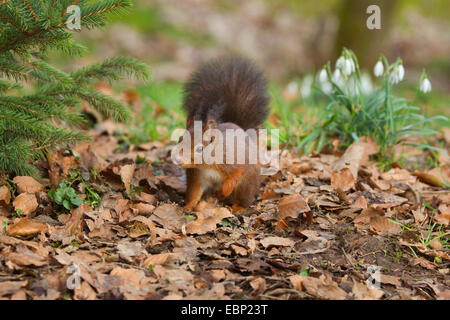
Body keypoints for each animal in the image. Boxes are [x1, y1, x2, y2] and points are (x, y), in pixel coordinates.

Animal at [178, 57, 268, 212]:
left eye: (200, 149)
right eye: (180, 139)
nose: (179, 160)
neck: (208, 165)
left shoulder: (235, 160)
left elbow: (236, 174)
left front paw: (223, 191)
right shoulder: (196, 176)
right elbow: (194, 192)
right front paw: (187, 207)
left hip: (247, 184)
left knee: (245, 197)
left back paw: (238, 206)